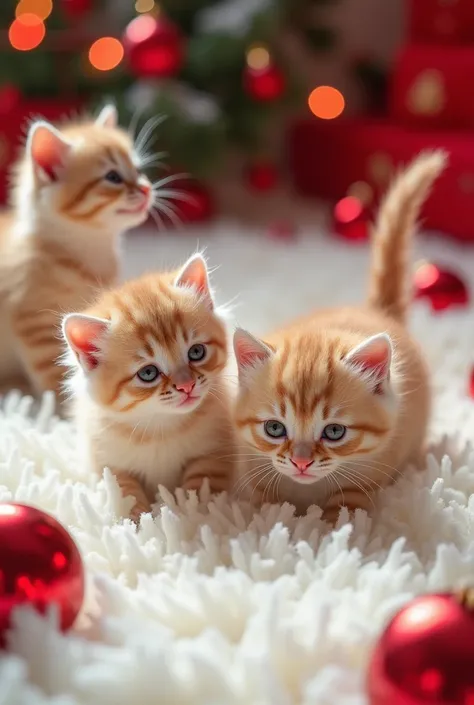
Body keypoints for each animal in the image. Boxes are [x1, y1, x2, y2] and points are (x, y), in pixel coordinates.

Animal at [0, 107, 153, 398]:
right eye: (113, 177)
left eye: (139, 171)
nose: (147, 188)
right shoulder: (34, 323)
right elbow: (54, 371)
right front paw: (63, 406)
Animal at [61, 256, 235, 520]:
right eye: (148, 373)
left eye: (196, 352)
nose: (187, 385)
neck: (161, 427)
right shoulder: (108, 462)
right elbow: (125, 493)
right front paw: (138, 523)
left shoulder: (215, 452)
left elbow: (199, 490)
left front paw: (187, 516)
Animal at [231, 151, 446, 520]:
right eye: (274, 428)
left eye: (334, 432)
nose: (301, 462)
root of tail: (378, 311)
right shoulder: (254, 469)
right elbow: (265, 505)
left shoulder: (363, 483)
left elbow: (341, 517)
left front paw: (321, 529)